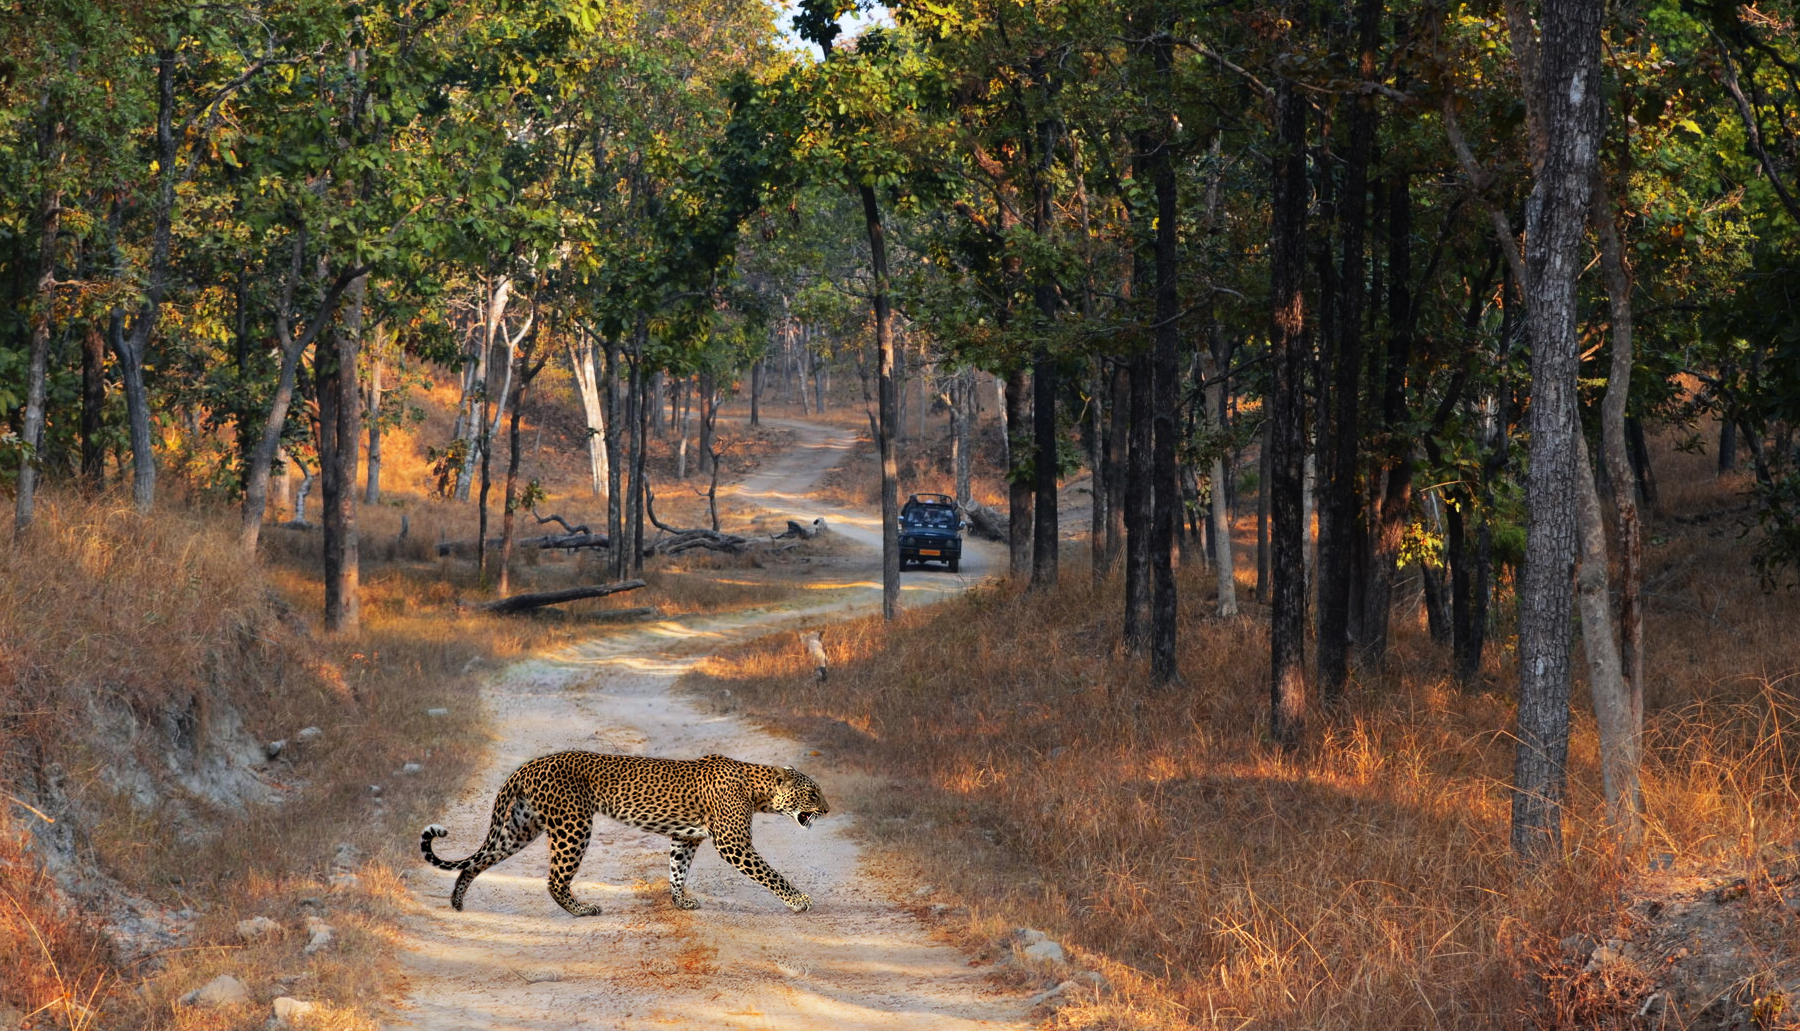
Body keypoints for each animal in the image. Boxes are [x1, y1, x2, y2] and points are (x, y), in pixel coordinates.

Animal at [419, 751, 829, 917]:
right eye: (812, 793)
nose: (827, 810)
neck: (759, 790)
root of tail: (528, 766)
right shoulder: (733, 843)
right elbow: (770, 873)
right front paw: (798, 900)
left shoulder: (686, 838)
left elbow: (677, 870)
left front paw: (681, 902)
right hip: (573, 825)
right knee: (554, 879)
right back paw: (582, 910)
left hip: (521, 827)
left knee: (476, 862)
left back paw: (457, 902)